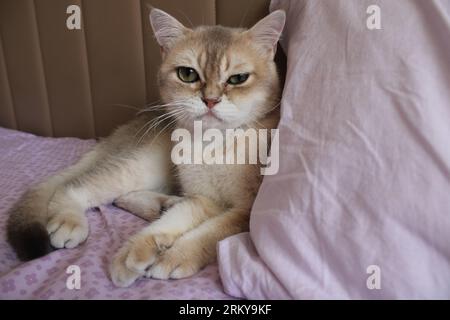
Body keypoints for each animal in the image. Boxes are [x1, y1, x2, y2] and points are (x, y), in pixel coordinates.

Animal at [6, 7, 284, 288]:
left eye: (238, 79)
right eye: (188, 74)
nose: (210, 100)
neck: (213, 145)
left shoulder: (242, 211)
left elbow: (211, 231)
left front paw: (173, 257)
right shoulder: (205, 197)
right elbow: (180, 220)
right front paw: (134, 252)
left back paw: (163, 204)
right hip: (144, 164)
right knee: (77, 186)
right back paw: (70, 218)